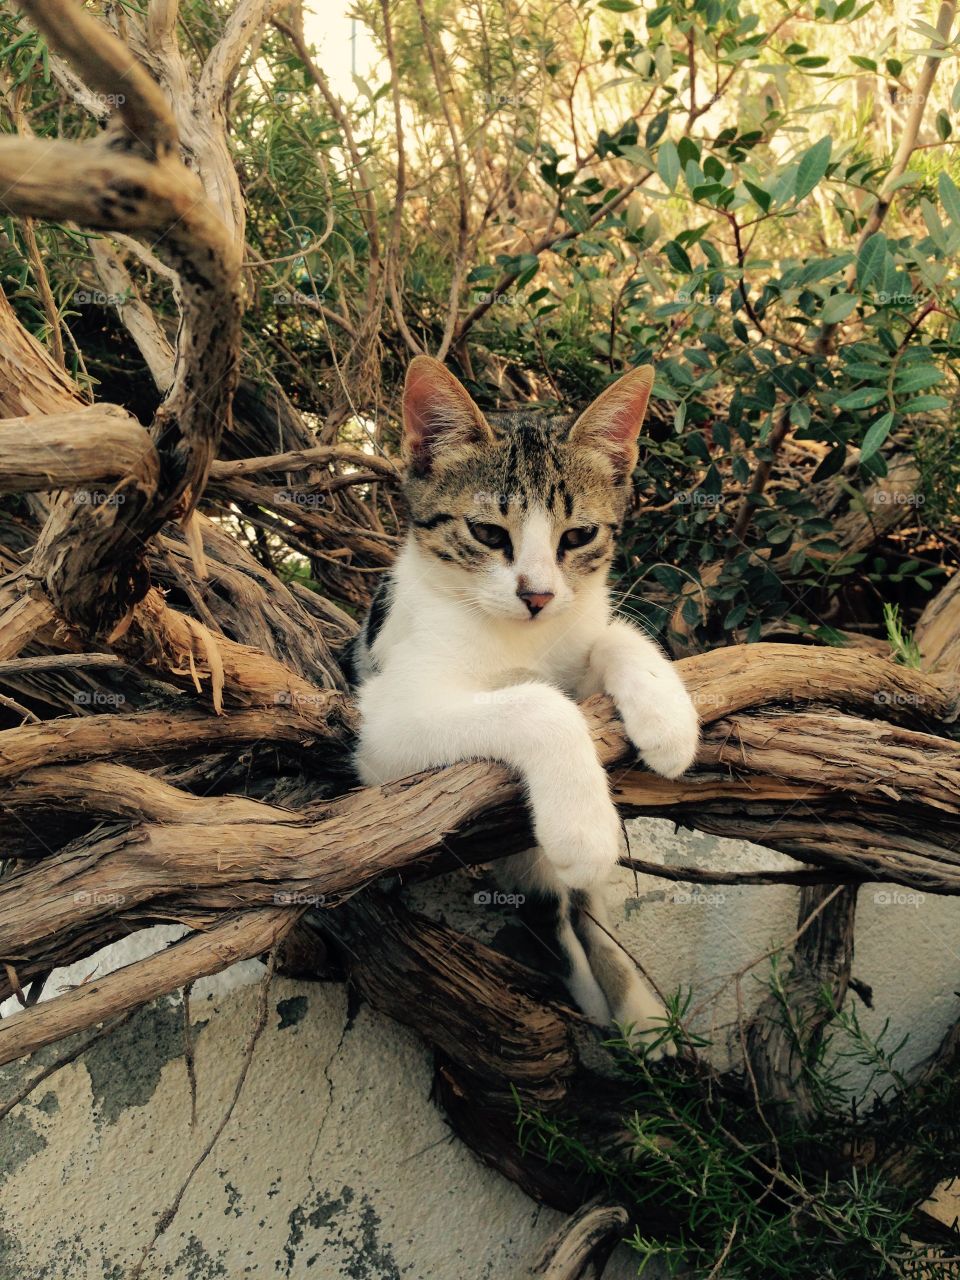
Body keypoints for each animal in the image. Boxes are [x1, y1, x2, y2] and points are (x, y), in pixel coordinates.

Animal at [345, 355, 701, 1044]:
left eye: (579, 535)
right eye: (487, 532)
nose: (537, 595)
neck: (521, 635)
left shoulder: (576, 634)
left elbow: (611, 637)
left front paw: (666, 717)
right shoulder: (385, 725)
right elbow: (538, 702)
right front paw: (583, 826)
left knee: (584, 909)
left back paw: (636, 1009)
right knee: (553, 909)